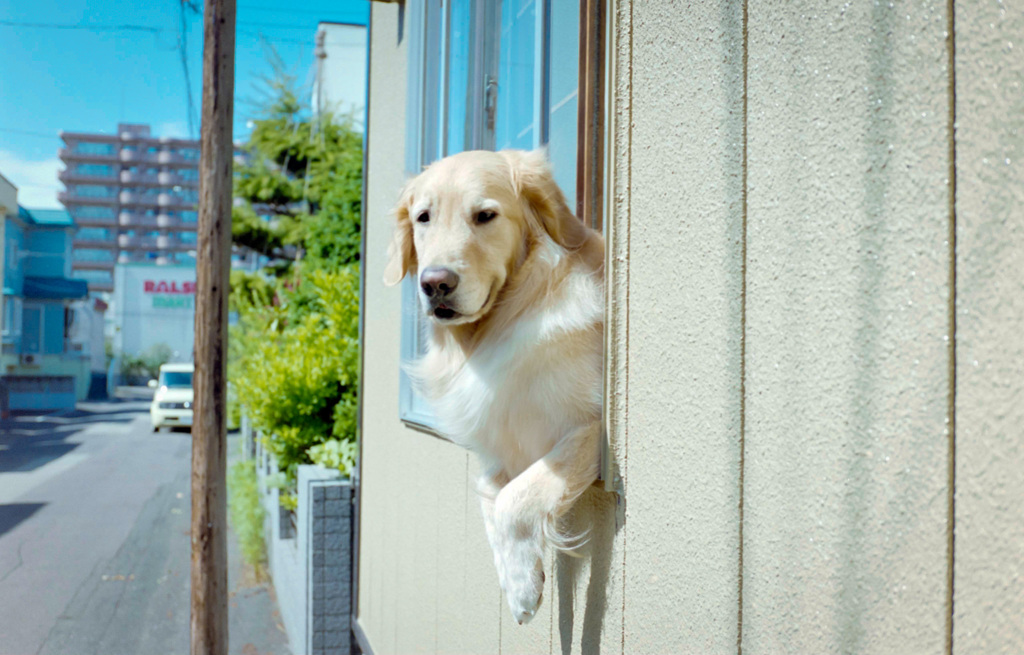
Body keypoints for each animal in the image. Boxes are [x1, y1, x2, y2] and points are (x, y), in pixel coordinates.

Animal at [387, 149, 602, 622]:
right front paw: (516, 576)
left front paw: (522, 590)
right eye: (423, 217)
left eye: (485, 215)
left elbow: (514, 498)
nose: (435, 283)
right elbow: (491, 490)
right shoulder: (496, 445)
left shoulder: (594, 427)